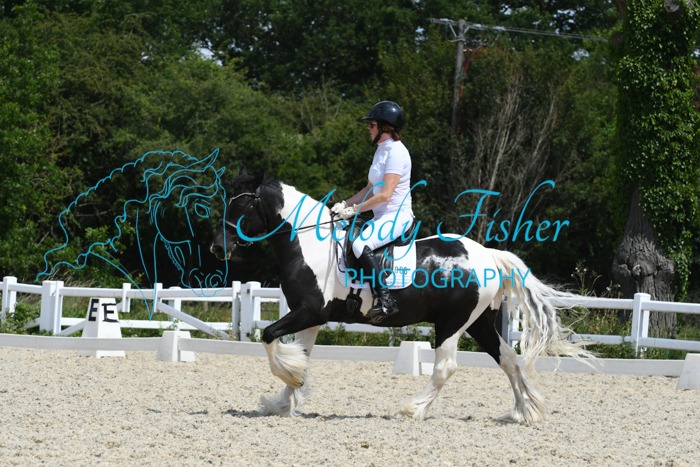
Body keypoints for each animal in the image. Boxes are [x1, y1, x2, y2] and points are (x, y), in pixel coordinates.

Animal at [210, 169, 592, 423]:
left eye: (241, 207)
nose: (217, 248)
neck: (309, 246)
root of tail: (488, 255)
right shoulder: (312, 319)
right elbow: (299, 354)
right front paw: (283, 400)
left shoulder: (309, 312)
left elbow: (269, 336)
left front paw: (290, 381)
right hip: (479, 322)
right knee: (509, 360)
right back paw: (525, 411)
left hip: (452, 323)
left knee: (446, 367)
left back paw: (414, 408)